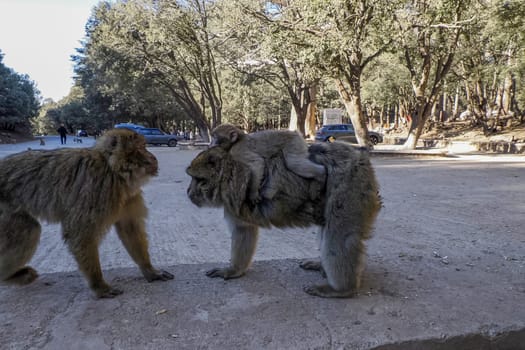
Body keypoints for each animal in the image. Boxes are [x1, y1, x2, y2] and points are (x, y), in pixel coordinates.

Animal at [1, 129, 175, 298]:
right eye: (141, 148)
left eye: (145, 146)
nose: (152, 157)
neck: (113, 171)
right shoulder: (97, 188)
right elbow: (80, 233)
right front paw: (99, 285)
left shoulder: (129, 195)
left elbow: (130, 228)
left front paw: (149, 270)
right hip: (4, 209)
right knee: (28, 231)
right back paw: (9, 276)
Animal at [185, 142, 380, 298]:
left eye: (197, 179)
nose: (188, 192)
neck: (228, 175)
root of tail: (359, 156)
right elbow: (244, 230)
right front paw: (234, 270)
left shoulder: (236, 192)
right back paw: (322, 266)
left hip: (349, 184)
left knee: (339, 235)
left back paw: (342, 289)